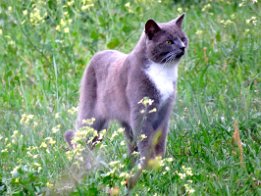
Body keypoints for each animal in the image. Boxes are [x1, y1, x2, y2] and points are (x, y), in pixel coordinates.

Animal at [64, 13, 187, 188]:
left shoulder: (164, 112)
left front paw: (160, 164)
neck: (162, 72)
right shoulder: (141, 113)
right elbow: (146, 141)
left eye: (183, 38)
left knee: (129, 143)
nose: (182, 47)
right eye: (169, 42)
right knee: (82, 139)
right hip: (92, 116)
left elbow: (160, 140)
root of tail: (97, 54)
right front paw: (150, 168)